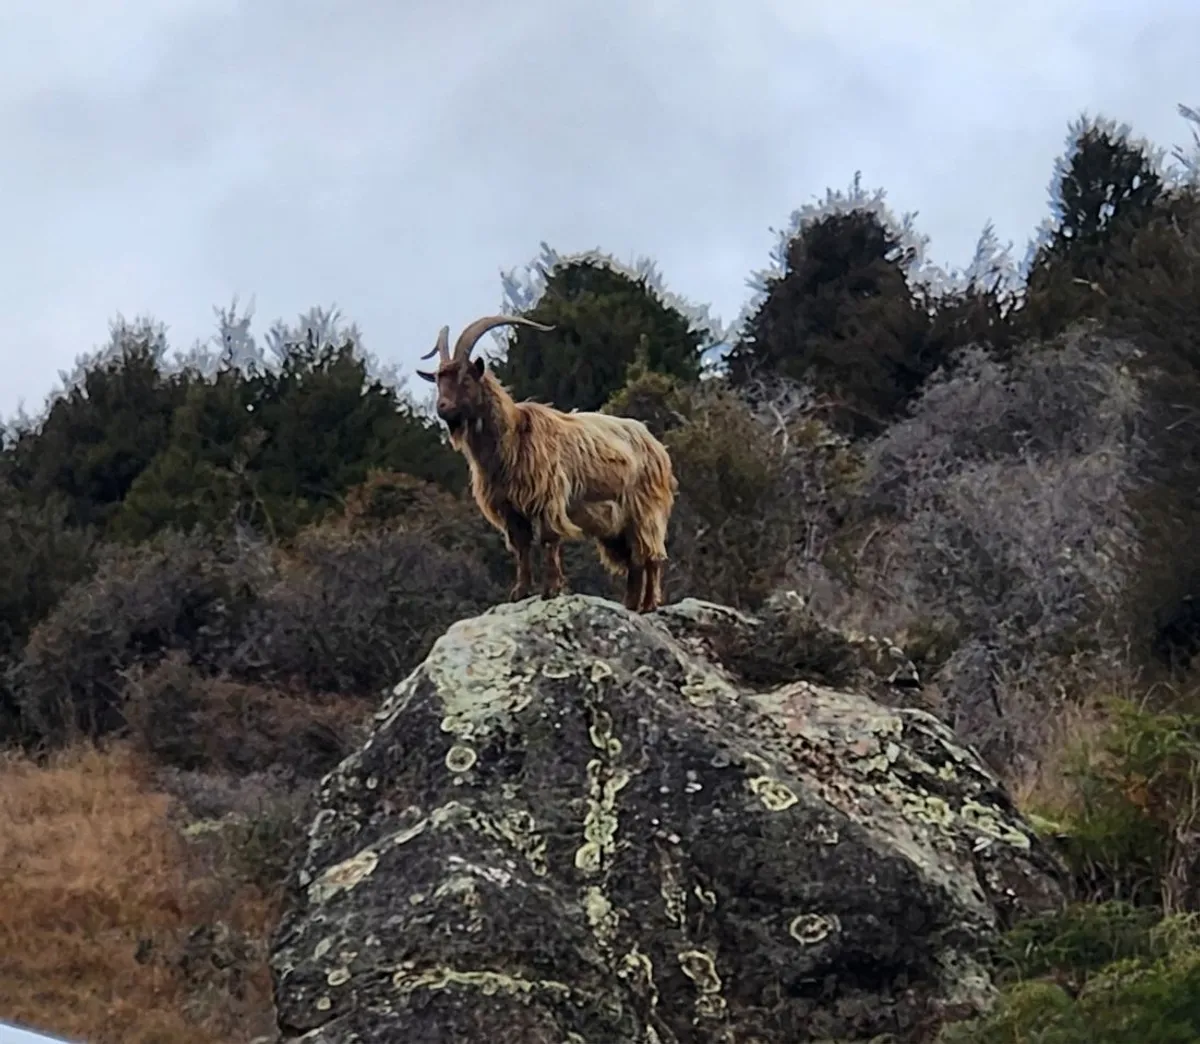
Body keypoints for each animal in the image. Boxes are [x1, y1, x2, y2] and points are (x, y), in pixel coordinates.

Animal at [416, 315, 677, 612]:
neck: (514, 436)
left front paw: (551, 590)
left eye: (466, 378)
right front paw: (520, 592)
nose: (443, 408)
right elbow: (522, 547)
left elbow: (549, 539)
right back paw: (630, 606)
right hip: (617, 526)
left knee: (651, 556)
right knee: (635, 561)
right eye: (438, 380)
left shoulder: (547, 498)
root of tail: (657, 447)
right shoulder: (510, 509)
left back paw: (648, 606)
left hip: (645, 510)